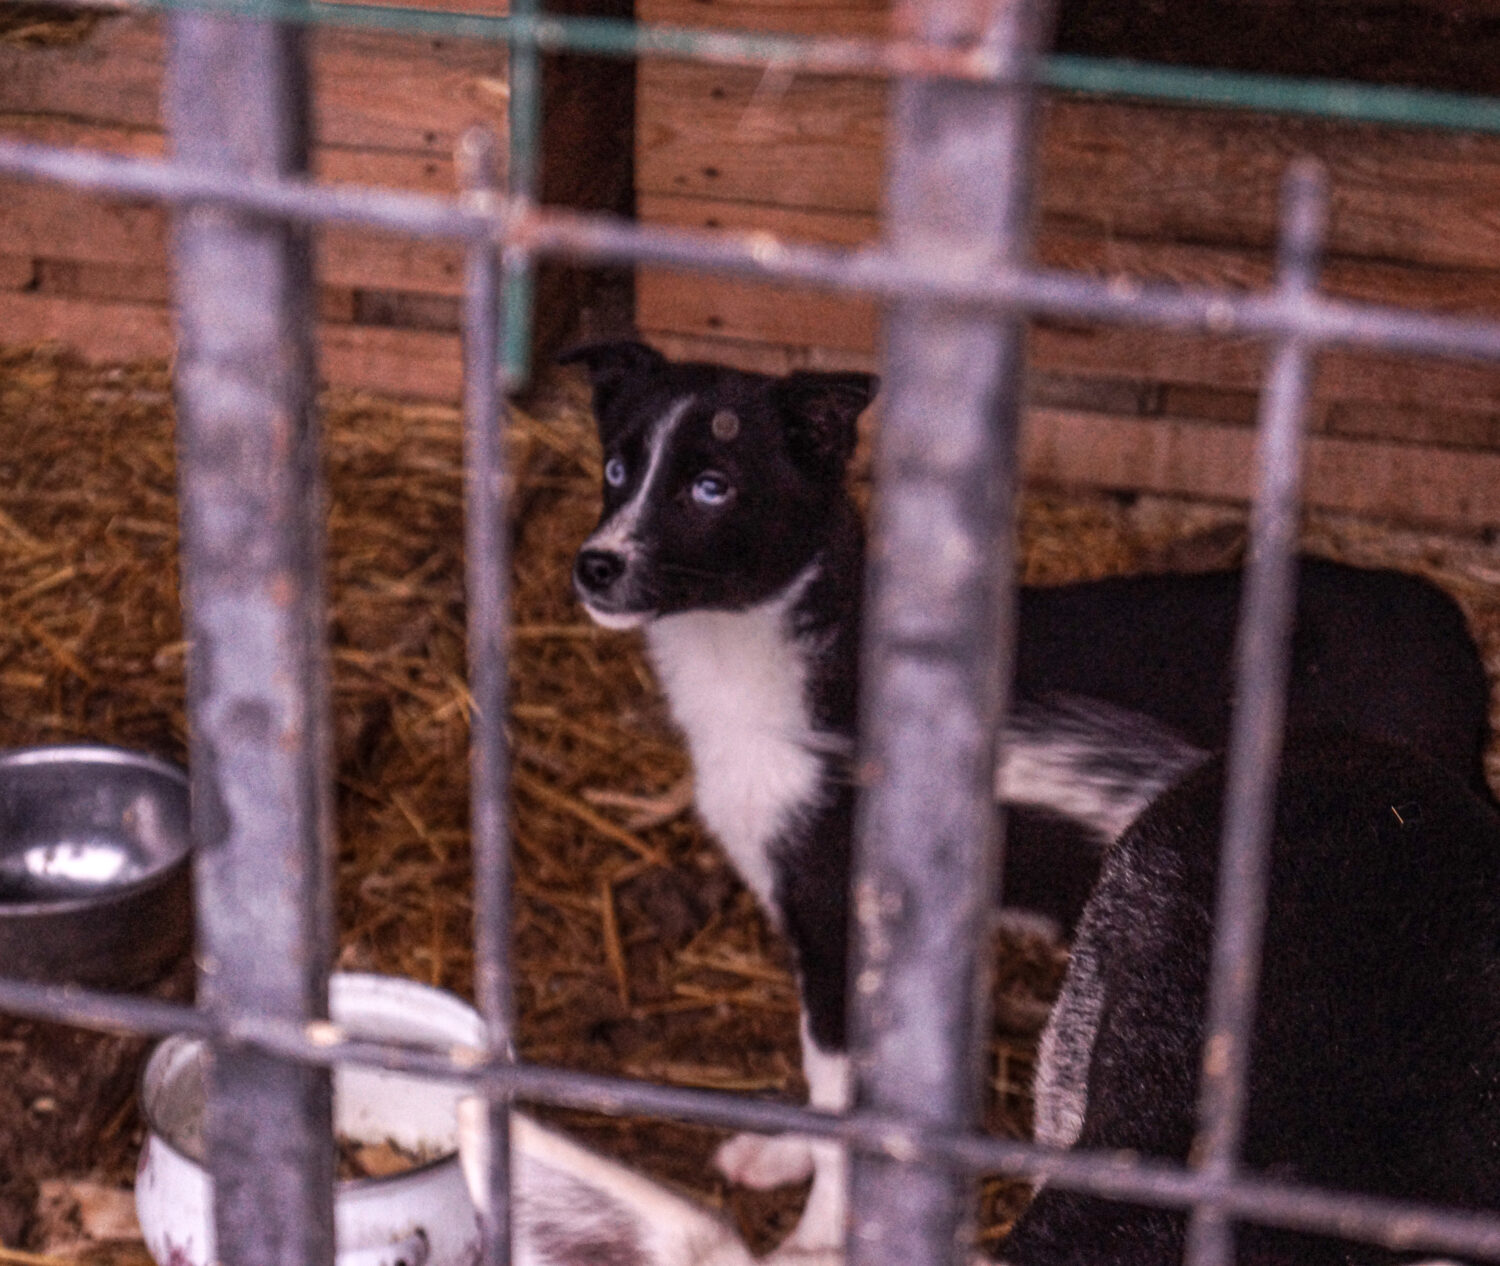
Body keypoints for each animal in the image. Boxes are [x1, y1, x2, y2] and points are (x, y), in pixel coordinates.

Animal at [561, 340, 1488, 1254]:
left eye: (712, 486)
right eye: (616, 467)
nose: (595, 566)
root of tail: (1452, 630)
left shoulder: (836, 911)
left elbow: (840, 1080)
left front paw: (815, 1236)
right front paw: (789, 1156)